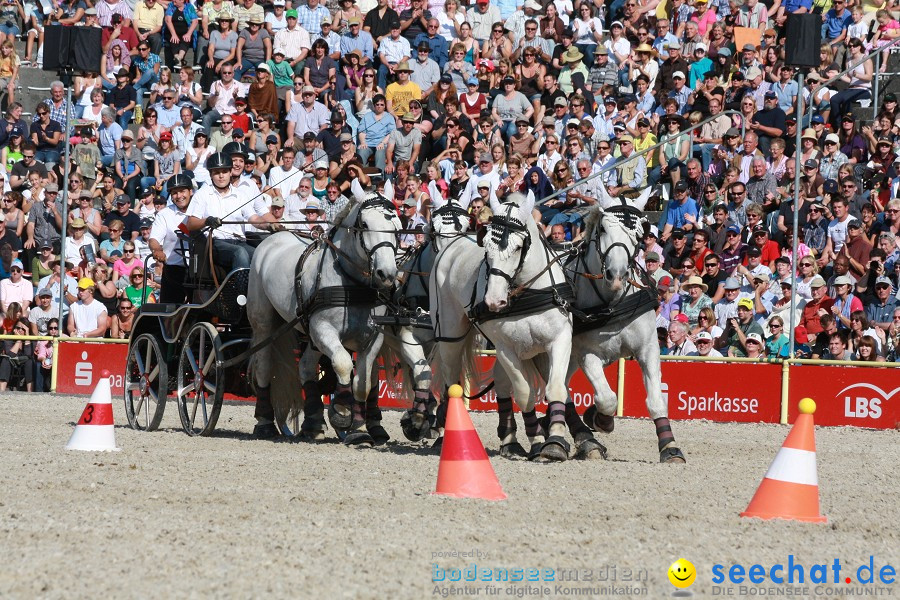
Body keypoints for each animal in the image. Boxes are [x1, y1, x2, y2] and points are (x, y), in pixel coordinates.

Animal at [246, 183, 400, 446]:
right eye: (364, 224)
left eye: (396, 225)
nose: (387, 274)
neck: (351, 284)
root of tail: (275, 236)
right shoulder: (323, 329)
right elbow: (343, 364)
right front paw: (341, 414)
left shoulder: (373, 337)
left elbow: (362, 381)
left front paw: (358, 429)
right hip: (265, 324)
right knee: (264, 366)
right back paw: (264, 422)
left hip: (308, 332)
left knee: (306, 367)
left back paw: (313, 423)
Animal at [430, 192, 572, 460]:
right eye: (486, 247)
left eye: (517, 247)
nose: (494, 301)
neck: (528, 293)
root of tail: (451, 246)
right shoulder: (506, 348)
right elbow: (525, 394)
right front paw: (537, 439)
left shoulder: (559, 340)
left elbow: (556, 388)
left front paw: (556, 441)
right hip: (450, 336)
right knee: (450, 379)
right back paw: (444, 434)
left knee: (501, 383)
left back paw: (510, 440)